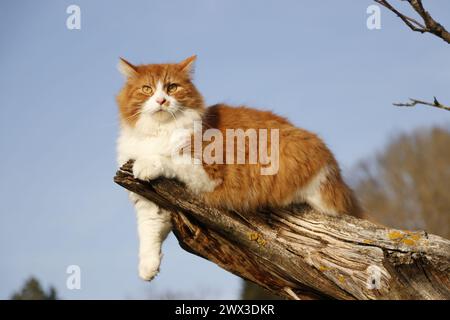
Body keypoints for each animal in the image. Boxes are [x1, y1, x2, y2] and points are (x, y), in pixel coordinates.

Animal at [116, 56, 362, 282]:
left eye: (172, 87)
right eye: (147, 89)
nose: (161, 100)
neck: (159, 131)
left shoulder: (208, 172)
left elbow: (167, 158)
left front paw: (146, 163)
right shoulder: (150, 203)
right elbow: (148, 235)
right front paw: (148, 268)